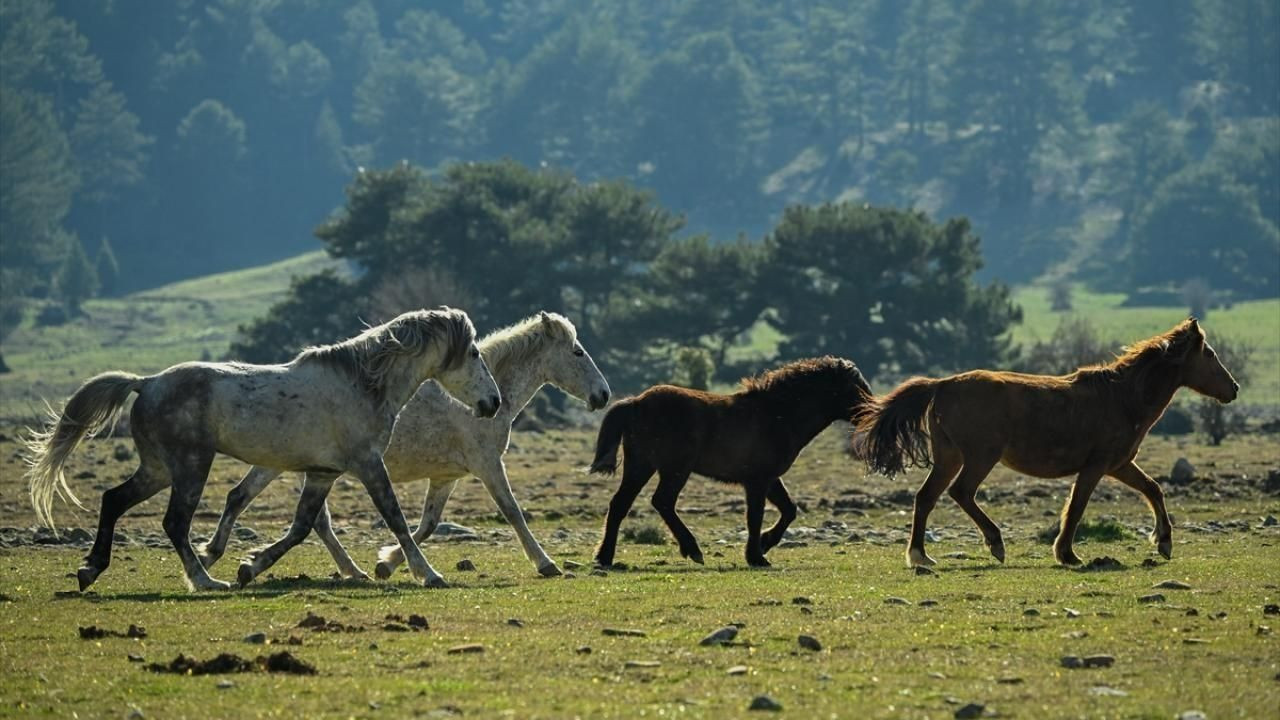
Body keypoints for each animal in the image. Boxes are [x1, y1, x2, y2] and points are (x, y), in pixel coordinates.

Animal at [28, 307, 499, 589]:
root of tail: (147, 382)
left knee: (113, 500)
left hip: (159, 469)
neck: (363, 383)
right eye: (475, 353)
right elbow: (396, 519)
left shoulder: (323, 473)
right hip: (190, 467)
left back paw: (91, 569)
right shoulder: (368, 465)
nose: (492, 404)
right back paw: (204, 581)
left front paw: (249, 566)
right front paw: (429, 574)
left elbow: (303, 525)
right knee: (174, 523)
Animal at [202, 311, 611, 579]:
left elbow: (428, 525)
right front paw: (546, 564)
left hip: (289, 464)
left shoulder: (447, 478)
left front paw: (387, 563)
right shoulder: (487, 464)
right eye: (577, 352)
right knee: (298, 515)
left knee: (258, 502)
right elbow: (512, 512)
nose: (603, 395)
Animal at [586, 353, 870, 566]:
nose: (871, 412)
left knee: (620, 504)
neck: (778, 414)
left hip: (641, 466)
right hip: (674, 469)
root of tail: (636, 402)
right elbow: (755, 516)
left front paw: (764, 544)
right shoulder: (757, 480)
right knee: (662, 501)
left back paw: (604, 557)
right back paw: (692, 549)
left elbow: (789, 510)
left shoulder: (769, 478)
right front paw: (756, 556)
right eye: (854, 388)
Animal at [860, 319, 1239, 566]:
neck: (1122, 397)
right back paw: (994, 544)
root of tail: (942, 385)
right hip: (980, 457)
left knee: (926, 497)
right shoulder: (1097, 466)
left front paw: (1164, 542)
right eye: (1209, 354)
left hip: (949, 457)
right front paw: (1067, 554)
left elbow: (1153, 489)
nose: (1233, 389)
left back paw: (921, 556)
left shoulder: (1119, 465)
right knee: (961, 492)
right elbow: (1077, 506)